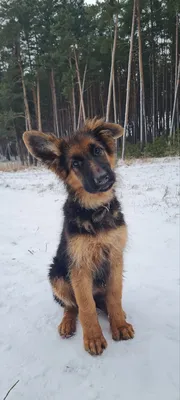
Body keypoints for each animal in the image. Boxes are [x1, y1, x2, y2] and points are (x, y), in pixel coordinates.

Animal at [23, 117, 134, 354]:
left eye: (98, 151)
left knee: (103, 300)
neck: (95, 210)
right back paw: (67, 323)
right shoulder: (79, 265)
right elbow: (85, 306)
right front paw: (93, 337)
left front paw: (119, 325)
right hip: (56, 274)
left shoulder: (115, 257)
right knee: (71, 306)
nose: (102, 179)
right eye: (75, 164)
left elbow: (115, 295)